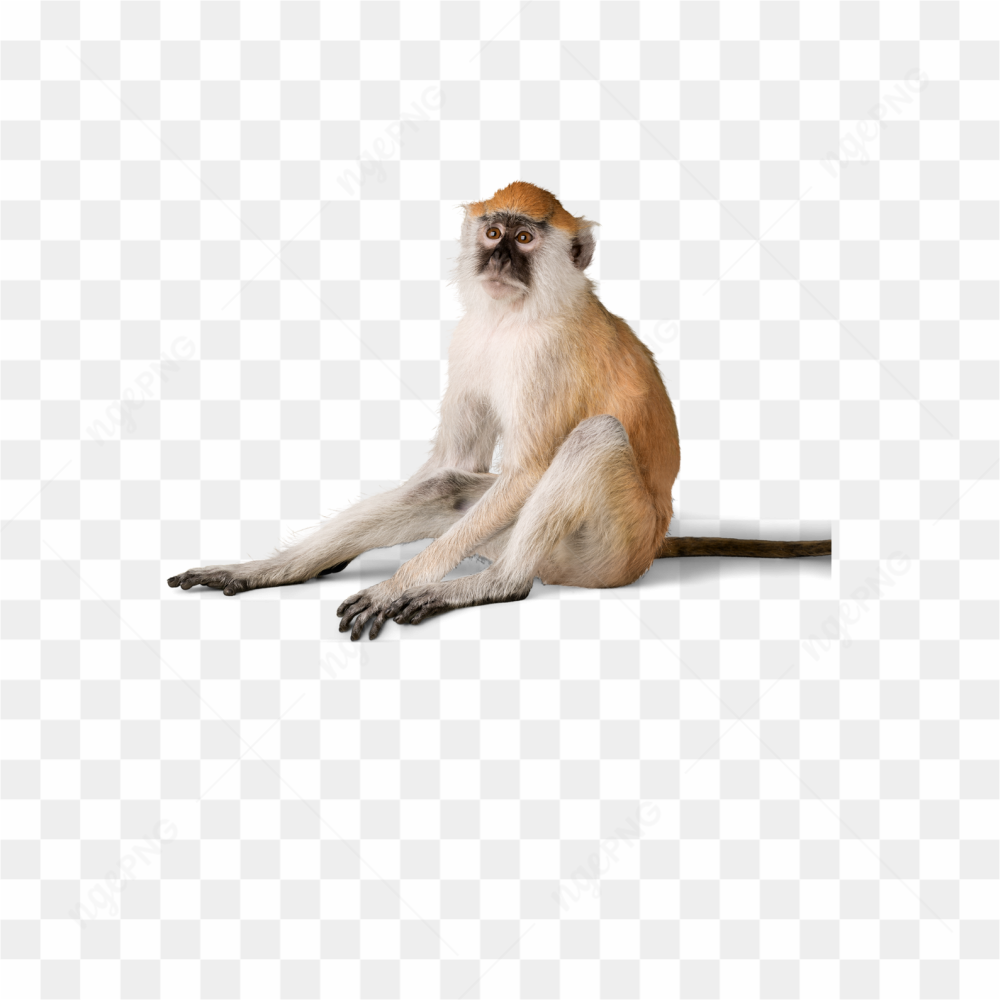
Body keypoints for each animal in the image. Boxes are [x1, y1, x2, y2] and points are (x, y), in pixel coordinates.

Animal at [168, 181, 830, 639]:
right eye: (493, 233)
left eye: (526, 238)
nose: (499, 259)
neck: (517, 314)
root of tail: (653, 543)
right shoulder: (470, 339)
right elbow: (447, 464)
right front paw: (281, 565)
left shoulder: (546, 357)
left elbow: (530, 469)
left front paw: (394, 585)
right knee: (447, 489)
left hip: (607, 550)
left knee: (596, 437)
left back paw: (494, 584)